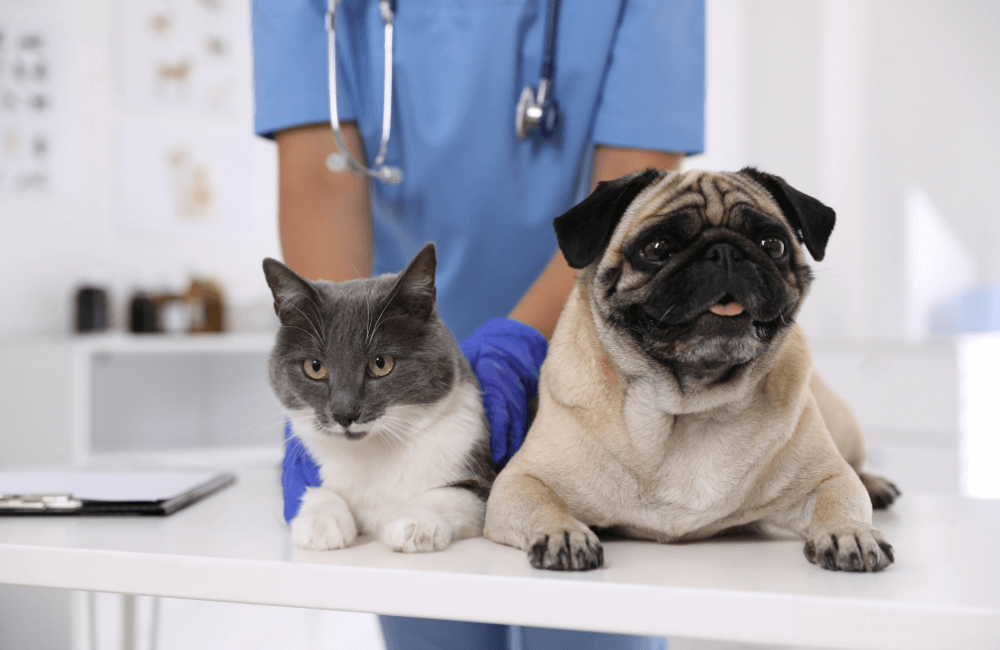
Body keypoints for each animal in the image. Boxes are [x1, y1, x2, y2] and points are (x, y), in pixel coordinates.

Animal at [264, 243, 494, 552]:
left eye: (380, 363)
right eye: (315, 367)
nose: (344, 414)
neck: (373, 453)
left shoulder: (474, 460)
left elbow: (454, 495)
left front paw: (415, 523)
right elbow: (313, 490)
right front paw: (321, 522)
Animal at [484, 168, 900, 572]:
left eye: (773, 245)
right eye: (656, 249)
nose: (724, 252)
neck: (691, 407)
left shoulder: (828, 478)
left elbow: (841, 498)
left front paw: (851, 533)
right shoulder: (519, 482)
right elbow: (544, 503)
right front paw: (564, 533)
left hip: (842, 423)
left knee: (856, 468)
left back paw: (876, 485)